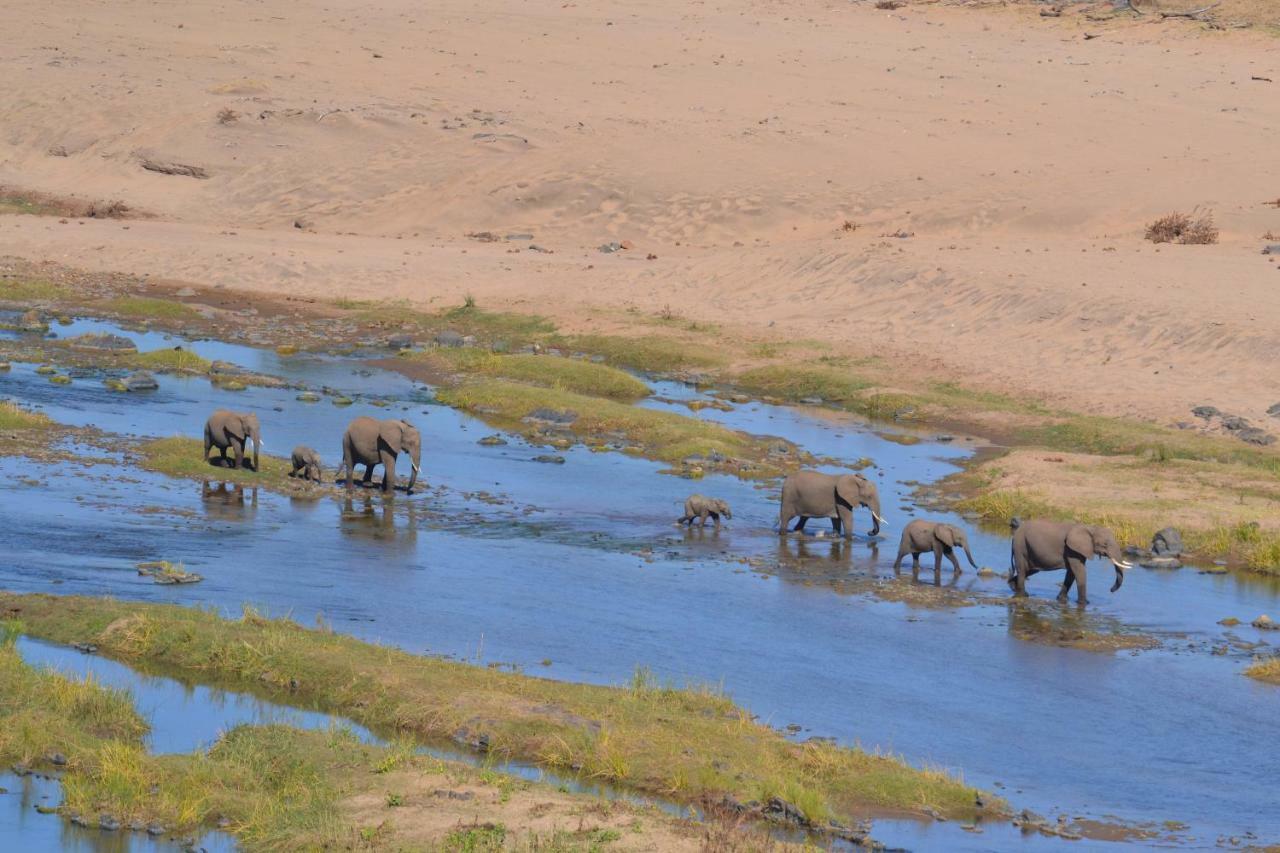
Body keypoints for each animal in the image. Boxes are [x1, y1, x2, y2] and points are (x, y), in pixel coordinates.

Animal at [1003, 517, 1136, 604]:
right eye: (1105, 544)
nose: (1111, 590)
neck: (1090, 527)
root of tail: (1016, 533)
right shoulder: (1072, 549)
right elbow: (1079, 571)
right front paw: (1084, 603)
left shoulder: (1078, 550)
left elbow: (1071, 573)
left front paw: (1061, 599)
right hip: (1020, 546)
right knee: (1022, 569)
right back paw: (1022, 595)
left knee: (1030, 570)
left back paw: (1013, 587)